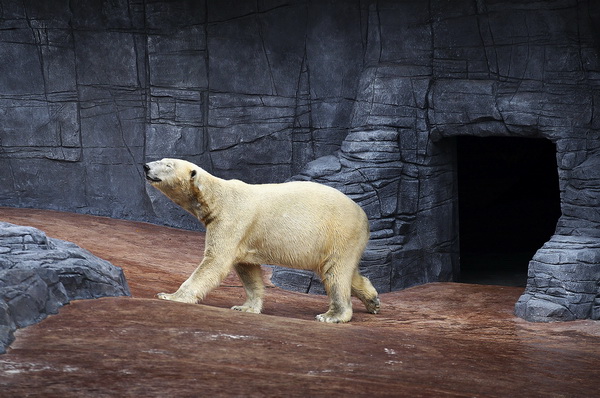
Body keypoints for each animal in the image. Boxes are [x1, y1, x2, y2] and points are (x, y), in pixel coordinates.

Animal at [143, 157, 380, 322]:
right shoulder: (245, 237)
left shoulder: (232, 220)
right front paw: (246, 307)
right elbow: (248, 270)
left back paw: (332, 315)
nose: (146, 166)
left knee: (335, 272)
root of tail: (363, 215)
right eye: (161, 160)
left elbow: (215, 261)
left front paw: (169, 295)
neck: (218, 197)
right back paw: (373, 301)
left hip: (339, 232)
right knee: (340, 270)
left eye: (168, 164)